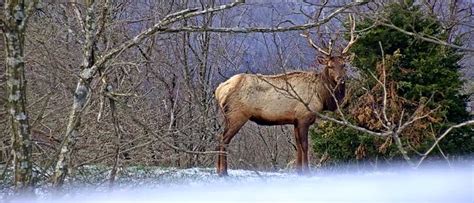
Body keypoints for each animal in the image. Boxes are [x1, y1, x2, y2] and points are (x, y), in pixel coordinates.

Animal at [216, 16, 360, 176]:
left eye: (344, 65)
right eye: (330, 66)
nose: (341, 79)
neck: (321, 96)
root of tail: (219, 90)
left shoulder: (295, 120)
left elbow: (298, 146)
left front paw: (299, 171)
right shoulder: (304, 116)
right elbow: (305, 145)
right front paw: (307, 171)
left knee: (219, 138)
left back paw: (219, 171)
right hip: (237, 114)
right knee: (223, 140)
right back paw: (223, 172)